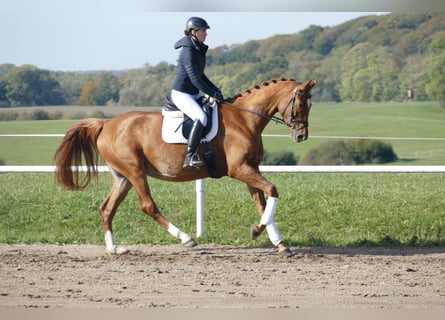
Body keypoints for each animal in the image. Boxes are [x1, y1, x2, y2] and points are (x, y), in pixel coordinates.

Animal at [53, 78, 316, 258]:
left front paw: (279, 243)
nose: (301, 136)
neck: (244, 119)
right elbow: (272, 190)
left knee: (107, 209)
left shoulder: (251, 169)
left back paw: (114, 249)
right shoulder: (240, 169)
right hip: (135, 172)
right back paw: (186, 238)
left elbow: (262, 202)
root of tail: (106, 124)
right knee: (148, 206)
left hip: (123, 177)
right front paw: (258, 230)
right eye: (300, 104)